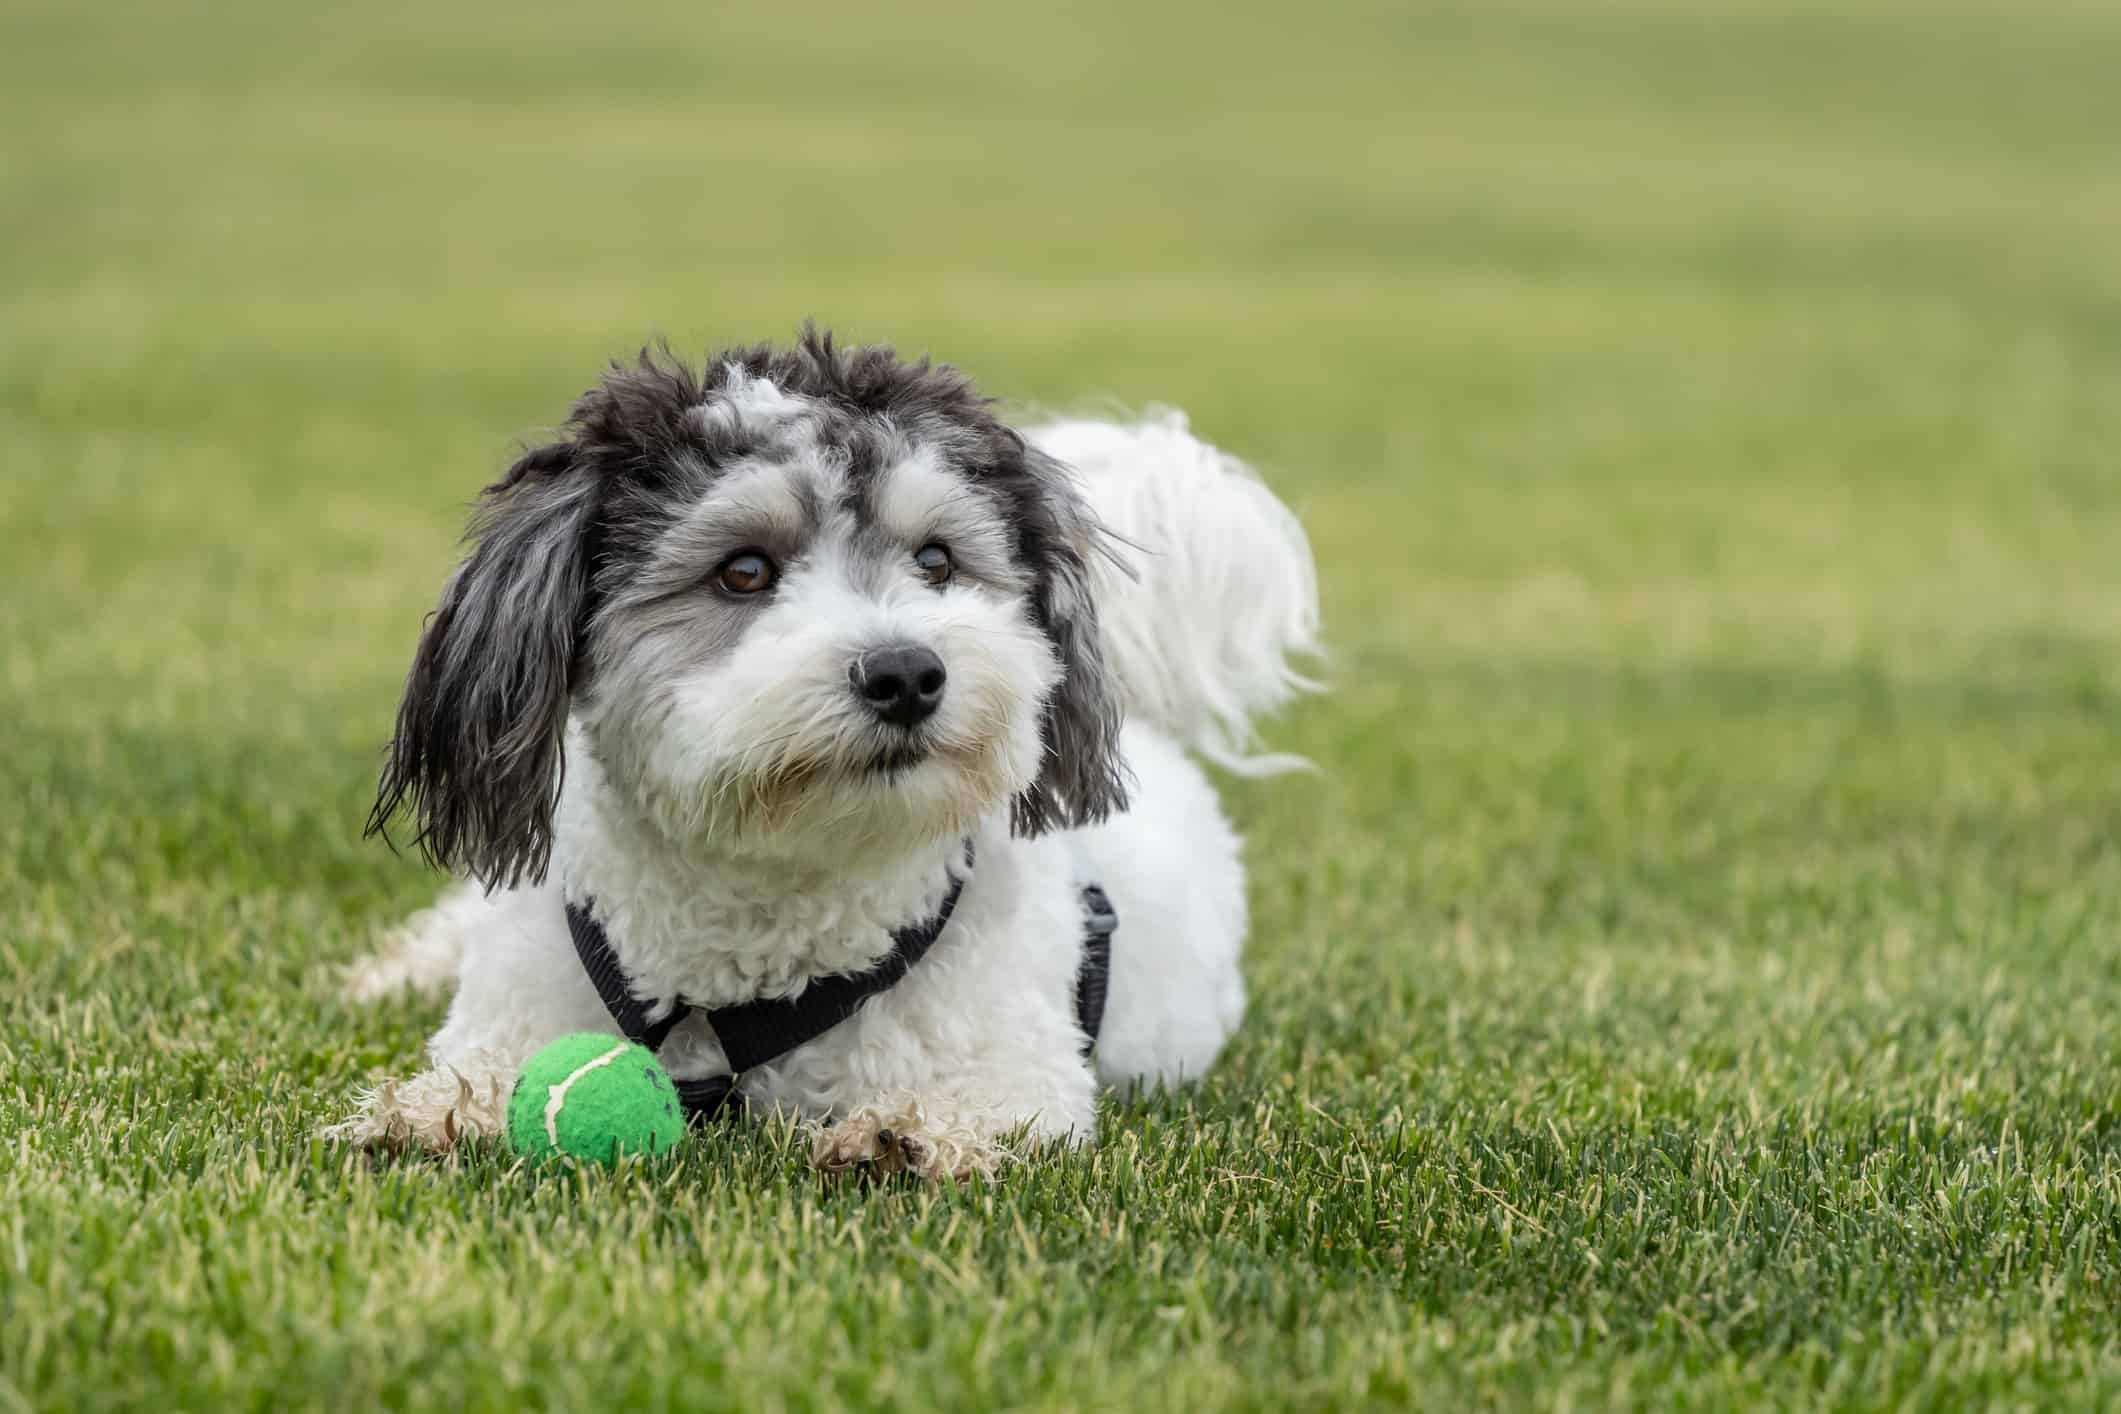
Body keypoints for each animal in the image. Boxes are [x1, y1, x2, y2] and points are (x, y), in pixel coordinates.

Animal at [332, 332, 1315, 1187]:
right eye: (743, 571)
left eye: (937, 561)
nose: (907, 672)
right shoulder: (529, 994)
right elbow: (482, 1064)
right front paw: (440, 1109)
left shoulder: (1023, 1069)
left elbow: (987, 1105)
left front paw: (906, 1132)